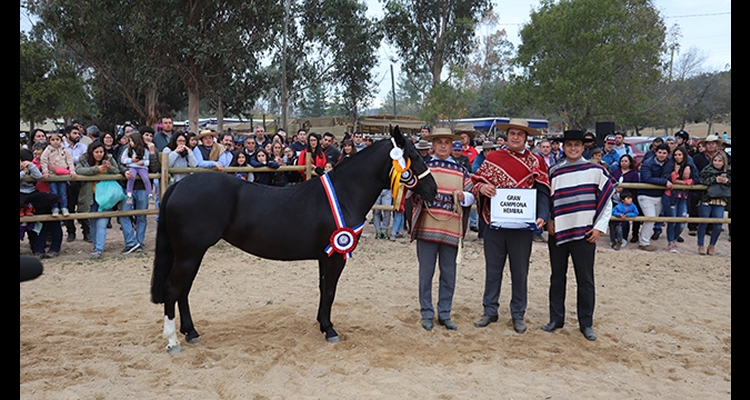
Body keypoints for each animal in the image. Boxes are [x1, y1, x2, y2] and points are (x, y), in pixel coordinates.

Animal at [150, 126, 438, 354]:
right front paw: (330, 330)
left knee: (183, 291)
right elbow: (330, 291)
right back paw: (173, 341)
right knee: (173, 289)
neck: (345, 193)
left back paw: (191, 332)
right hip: (189, 254)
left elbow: (324, 289)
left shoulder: (325, 255)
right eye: (414, 156)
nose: (434, 190)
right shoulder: (335, 256)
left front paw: (322, 324)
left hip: (192, 254)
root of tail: (178, 186)